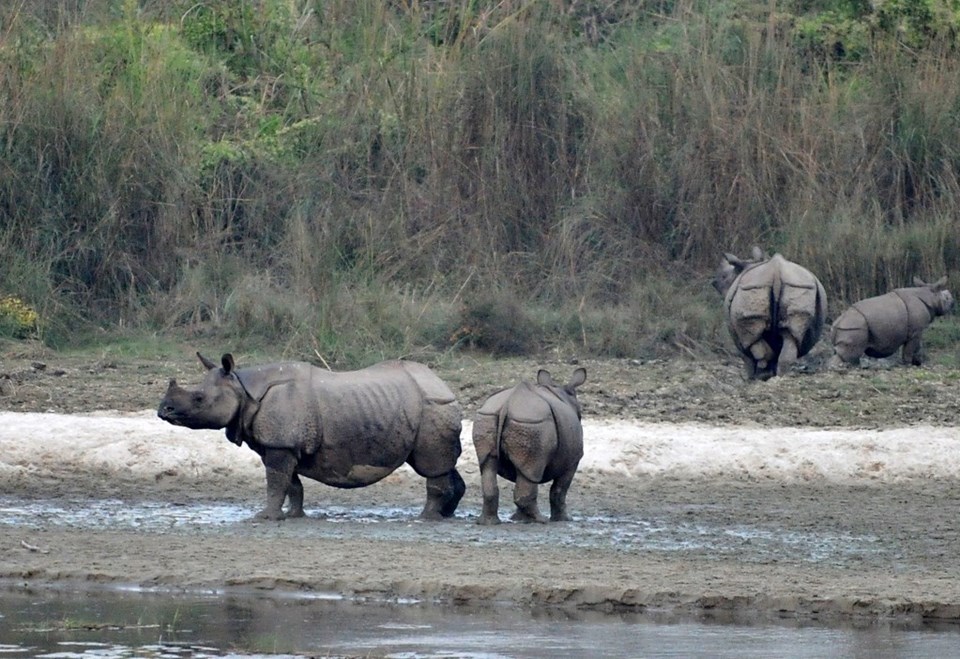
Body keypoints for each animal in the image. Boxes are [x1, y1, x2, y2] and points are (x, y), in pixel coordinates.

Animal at [158, 354, 464, 524]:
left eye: (199, 399)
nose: (163, 410)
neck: (243, 389)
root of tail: (443, 384)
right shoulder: (280, 444)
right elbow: (290, 483)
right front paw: (293, 516)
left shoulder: (280, 443)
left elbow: (276, 482)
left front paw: (264, 518)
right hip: (423, 406)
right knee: (444, 463)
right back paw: (445, 515)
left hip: (432, 406)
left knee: (431, 465)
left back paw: (425, 518)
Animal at [470, 368, 584, 528]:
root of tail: (508, 404)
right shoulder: (574, 459)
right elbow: (559, 489)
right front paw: (565, 519)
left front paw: (518, 519)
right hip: (533, 424)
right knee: (533, 471)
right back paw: (541, 520)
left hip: (488, 417)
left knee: (488, 465)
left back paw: (488, 522)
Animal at [712, 248, 824, 382]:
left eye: (723, 277)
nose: (713, 283)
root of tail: (776, 271)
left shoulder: (740, 341)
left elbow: (747, 357)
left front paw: (750, 378)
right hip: (799, 287)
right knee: (790, 336)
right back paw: (779, 377)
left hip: (751, 288)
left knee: (755, 342)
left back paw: (762, 376)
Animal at [828, 278, 956, 366]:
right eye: (946, 299)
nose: (953, 301)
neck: (930, 296)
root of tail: (836, 323)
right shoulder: (916, 331)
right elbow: (911, 347)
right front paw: (909, 363)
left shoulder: (917, 330)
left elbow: (917, 346)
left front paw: (917, 363)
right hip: (854, 326)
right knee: (850, 354)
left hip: (849, 326)